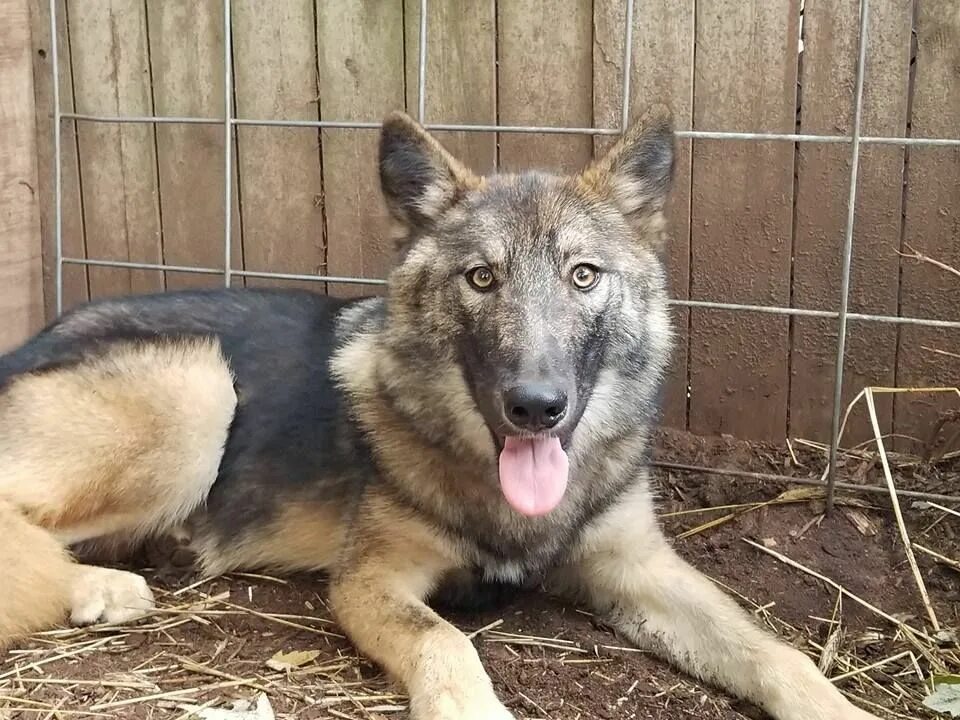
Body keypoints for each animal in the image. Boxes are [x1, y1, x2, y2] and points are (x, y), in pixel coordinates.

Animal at [1, 108, 876, 720]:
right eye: (482, 278)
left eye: (584, 275)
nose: (536, 406)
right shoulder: (371, 581)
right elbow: (447, 644)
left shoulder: (640, 569)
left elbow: (775, 653)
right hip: (198, 392)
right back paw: (101, 588)